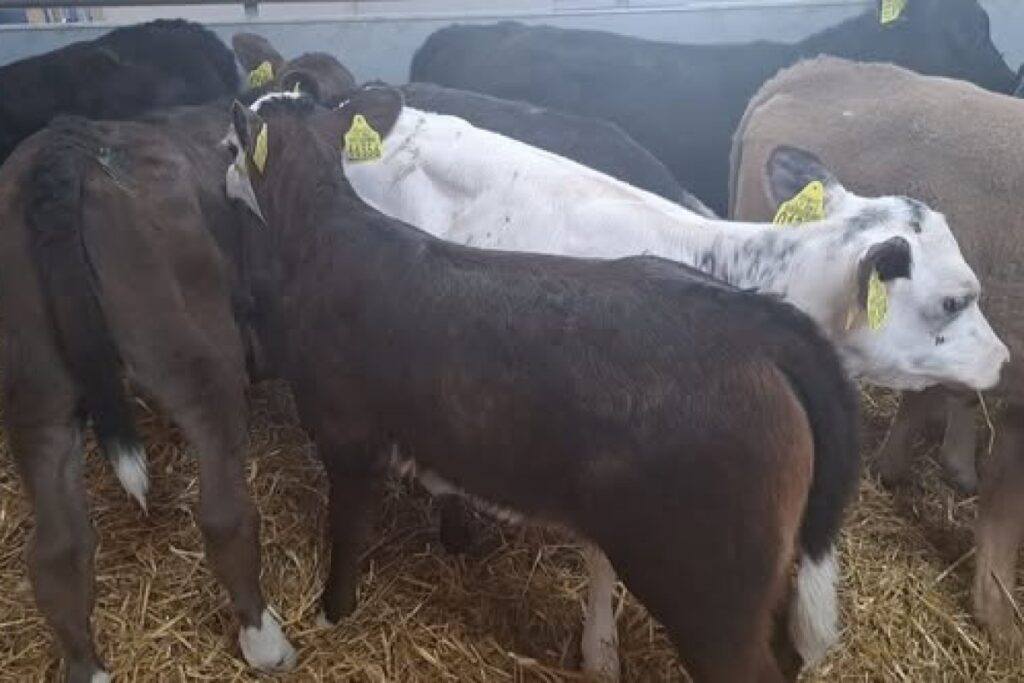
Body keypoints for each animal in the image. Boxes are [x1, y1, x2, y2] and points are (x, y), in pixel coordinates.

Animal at [0, 35, 354, 683]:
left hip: (35, 385)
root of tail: (66, 150)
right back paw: (265, 640)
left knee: (56, 553)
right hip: (198, 359)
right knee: (223, 516)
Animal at [224, 85, 861, 683]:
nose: (221, 170)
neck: (330, 234)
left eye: (232, 147)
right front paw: (458, 541)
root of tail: (760, 323)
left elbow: (348, 531)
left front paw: (332, 611)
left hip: (711, 587)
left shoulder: (347, 434)